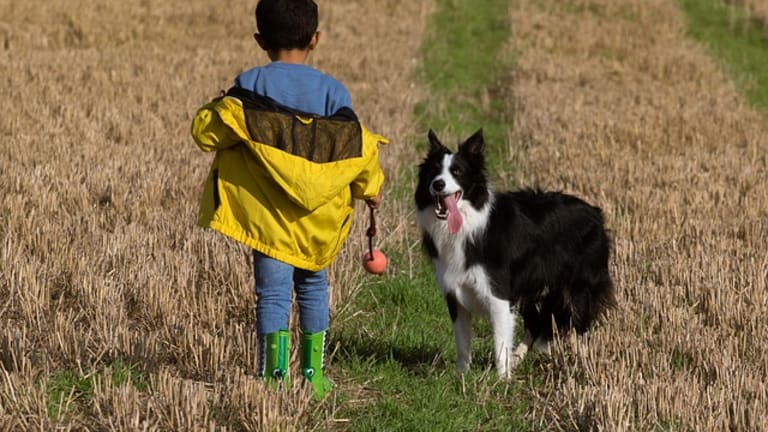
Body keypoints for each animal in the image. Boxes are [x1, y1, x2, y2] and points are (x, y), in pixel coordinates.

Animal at [416, 129, 616, 378]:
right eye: (433, 171)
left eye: (457, 172)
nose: (438, 184)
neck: (469, 223)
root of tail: (596, 213)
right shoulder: (454, 293)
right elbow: (462, 343)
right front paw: (460, 376)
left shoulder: (499, 295)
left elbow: (500, 343)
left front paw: (502, 380)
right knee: (538, 322)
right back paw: (520, 357)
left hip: (580, 288)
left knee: (578, 328)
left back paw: (583, 366)